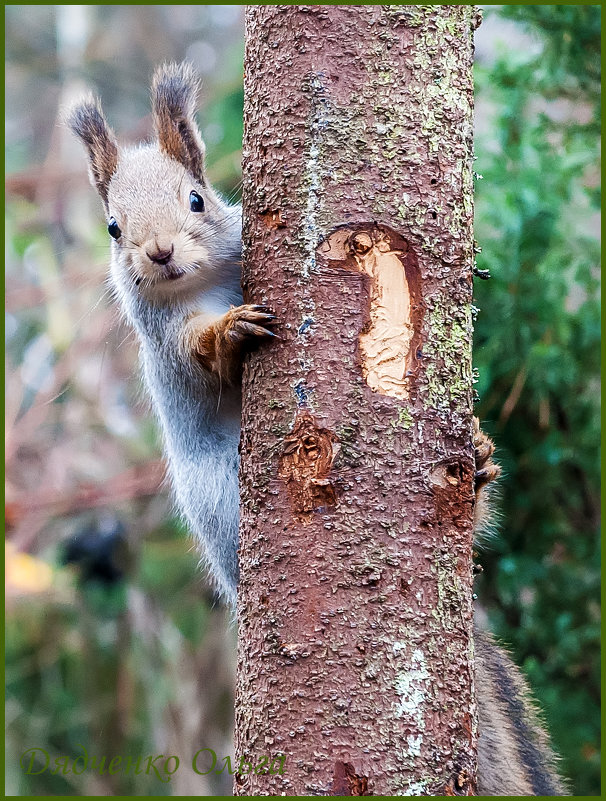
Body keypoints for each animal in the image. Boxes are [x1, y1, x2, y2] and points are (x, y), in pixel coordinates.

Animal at [67, 61, 568, 792]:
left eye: (198, 200)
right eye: (112, 227)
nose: (158, 253)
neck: (203, 286)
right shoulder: (165, 345)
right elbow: (199, 357)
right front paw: (230, 330)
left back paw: (476, 458)